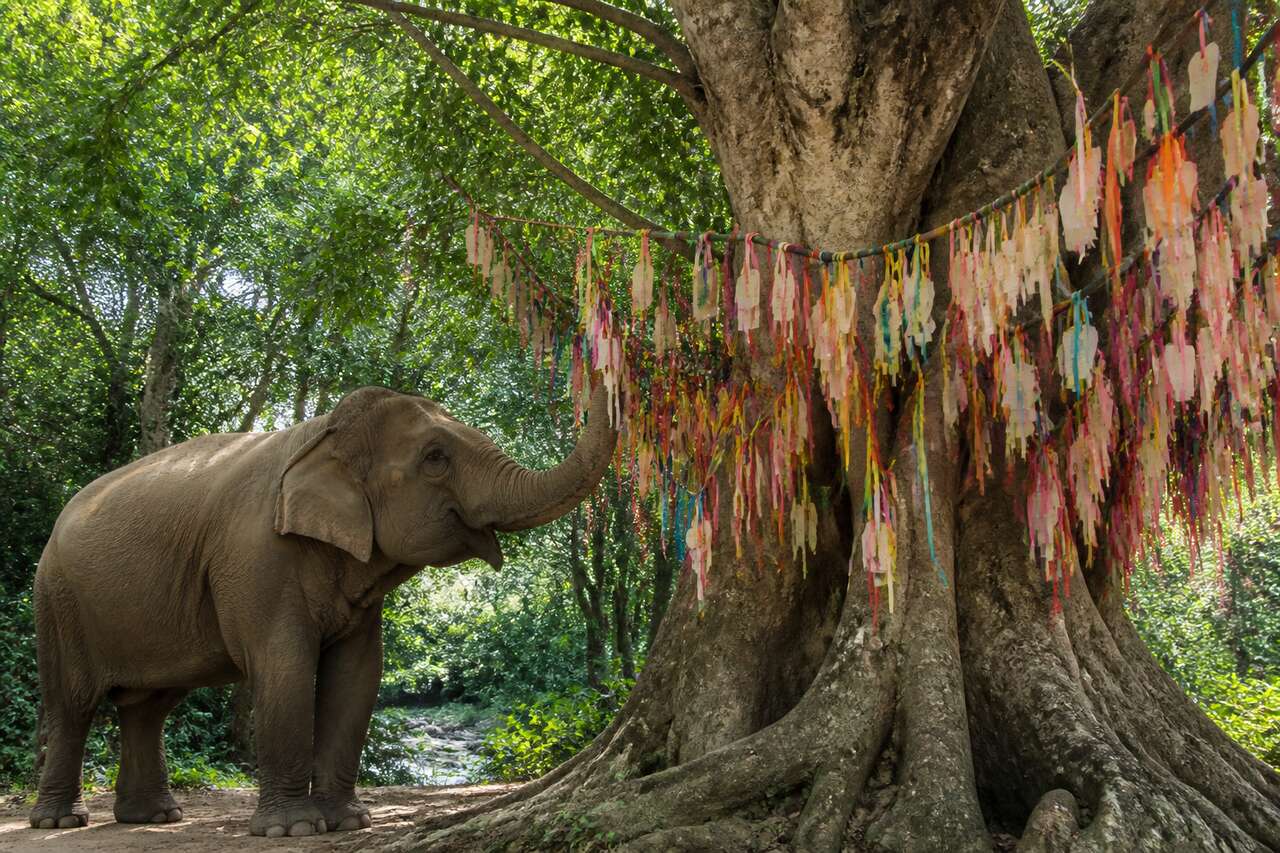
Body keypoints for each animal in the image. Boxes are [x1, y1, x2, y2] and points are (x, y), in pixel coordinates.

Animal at [28, 380, 615, 837]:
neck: (321, 434)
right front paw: (294, 829)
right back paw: (60, 821)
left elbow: (357, 674)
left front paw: (348, 823)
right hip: (56, 601)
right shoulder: (256, 556)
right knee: (72, 704)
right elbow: (285, 665)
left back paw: (153, 817)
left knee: (148, 706)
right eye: (435, 458)